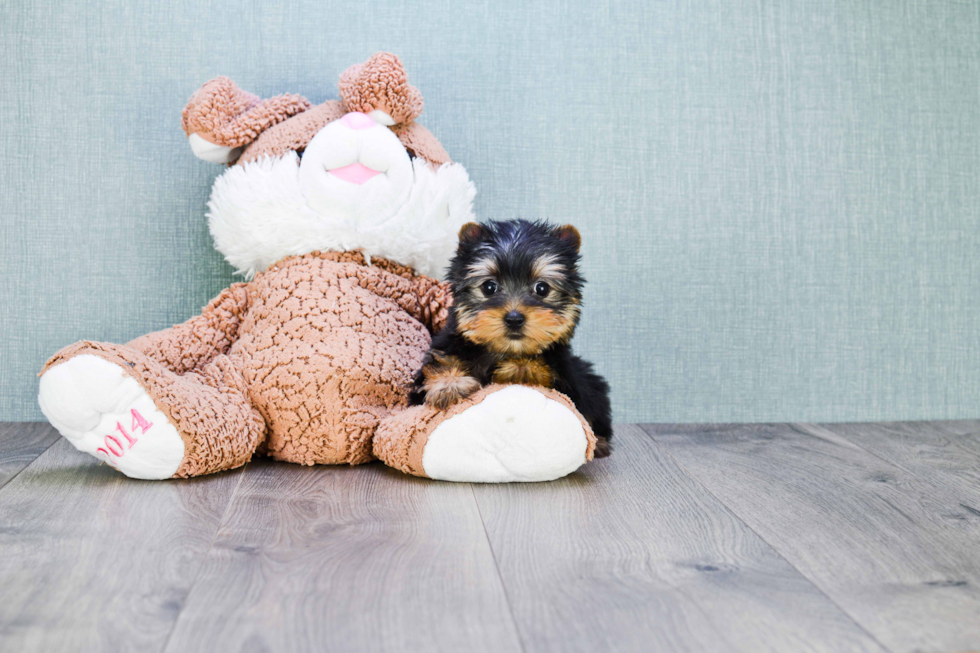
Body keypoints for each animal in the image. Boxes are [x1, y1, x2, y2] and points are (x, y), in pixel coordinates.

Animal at [412, 218, 612, 454]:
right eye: (489, 287)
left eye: (542, 288)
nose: (514, 318)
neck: (503, 351)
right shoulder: (445, 348)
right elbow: (439, 363)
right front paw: (449, 385)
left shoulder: (567, 380)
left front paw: (521, 367)